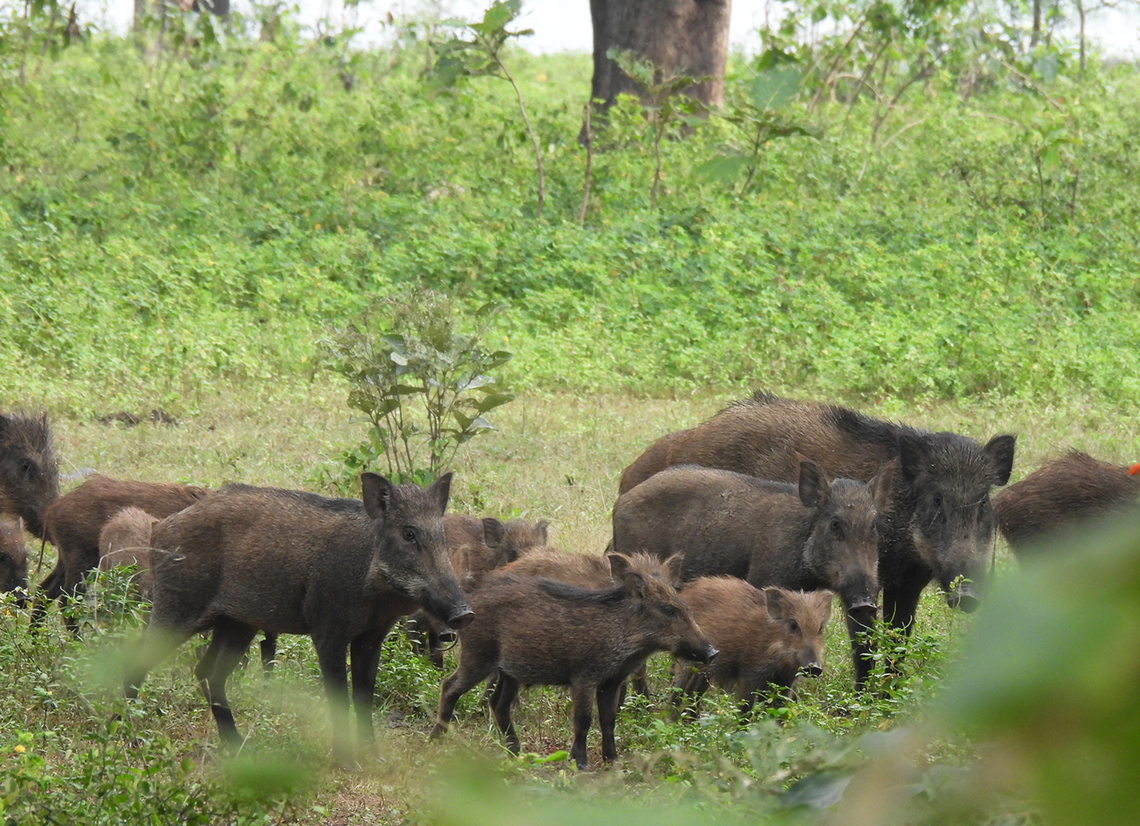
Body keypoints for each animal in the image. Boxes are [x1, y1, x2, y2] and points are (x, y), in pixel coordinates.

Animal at [123, 473, 472, 766]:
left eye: (442, 537)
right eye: (409, 533)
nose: (465, 613)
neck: (371, 583)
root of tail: (160, 527)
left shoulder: (372, 637)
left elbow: (364, 696)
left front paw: (375, 759)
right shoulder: (327, 630)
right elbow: (338, 695)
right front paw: (347, 763)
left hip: (236, 624)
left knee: (208, 672)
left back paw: (238, 746)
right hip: (177, 608)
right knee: (137, 660)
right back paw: (129, 738)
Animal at [430, 553, 716, 770]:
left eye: (685, 607)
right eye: (668, 610)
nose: (713, 652)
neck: (625, 636)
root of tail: (470, 606)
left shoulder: (611, 681)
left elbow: (608, 720)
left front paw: (613, 761)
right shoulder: (584, 676)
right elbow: (583, 719)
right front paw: (580, 764)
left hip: (510, 671)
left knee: (498, 704)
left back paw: (516, 751)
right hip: (478, 657)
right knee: (450, 686)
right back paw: (437, 738)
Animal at [672, 580, 834, 719]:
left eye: (820, 628)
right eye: (793, 625)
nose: (814, 668)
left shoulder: (785, 682)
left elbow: (778, 712)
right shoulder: (749, 674)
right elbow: (745, 709)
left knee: (693, 694)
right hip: (687, 661)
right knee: (677, 691)